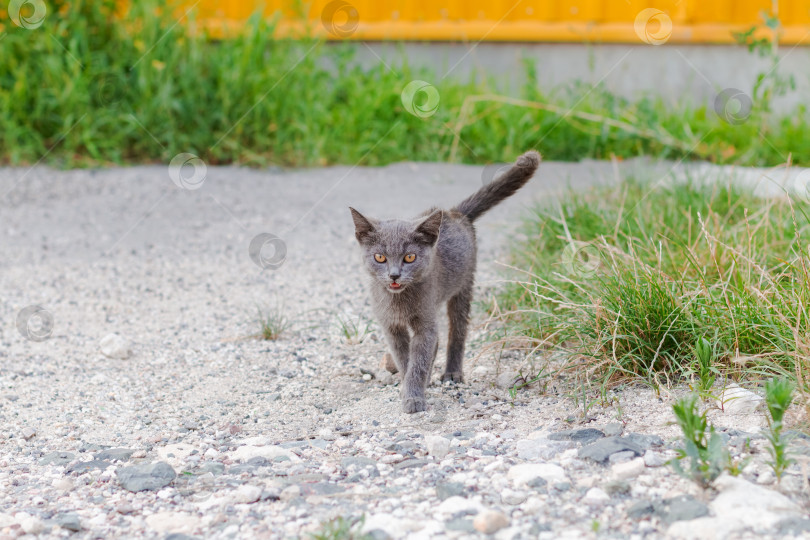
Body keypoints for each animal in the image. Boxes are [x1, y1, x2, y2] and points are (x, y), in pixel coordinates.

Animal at [350, 152, 540, 414]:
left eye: (410, 257)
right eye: (380, 257)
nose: (394, 275)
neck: (398, 301)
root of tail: (453, 213)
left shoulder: (425, 320)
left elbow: (419, 360)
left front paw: (414, 397)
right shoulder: (391, 326)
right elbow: (404, 358)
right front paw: (408, 387)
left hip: (463, 286)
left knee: (457, 331)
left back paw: (452, 374)